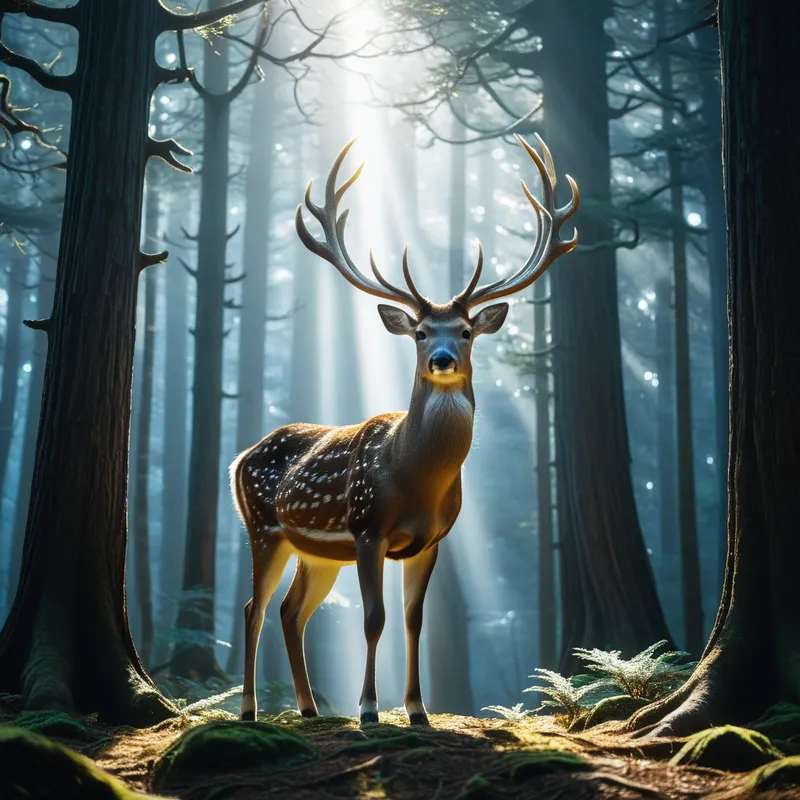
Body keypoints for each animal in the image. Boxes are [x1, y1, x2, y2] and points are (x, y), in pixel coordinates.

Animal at [231, 133, 579, 725]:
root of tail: (239, 457)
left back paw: (309, 708)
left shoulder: (431, 539)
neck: (410, 477)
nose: (441, 359)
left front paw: (417, 710)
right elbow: (374, 619)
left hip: (316, 552)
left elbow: (414, 620)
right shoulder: (368, 526)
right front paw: (370, 709)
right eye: (419, 331)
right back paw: (251, 709)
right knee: (256, 605)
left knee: (290, 610)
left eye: (465, 331)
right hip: (265, 527)